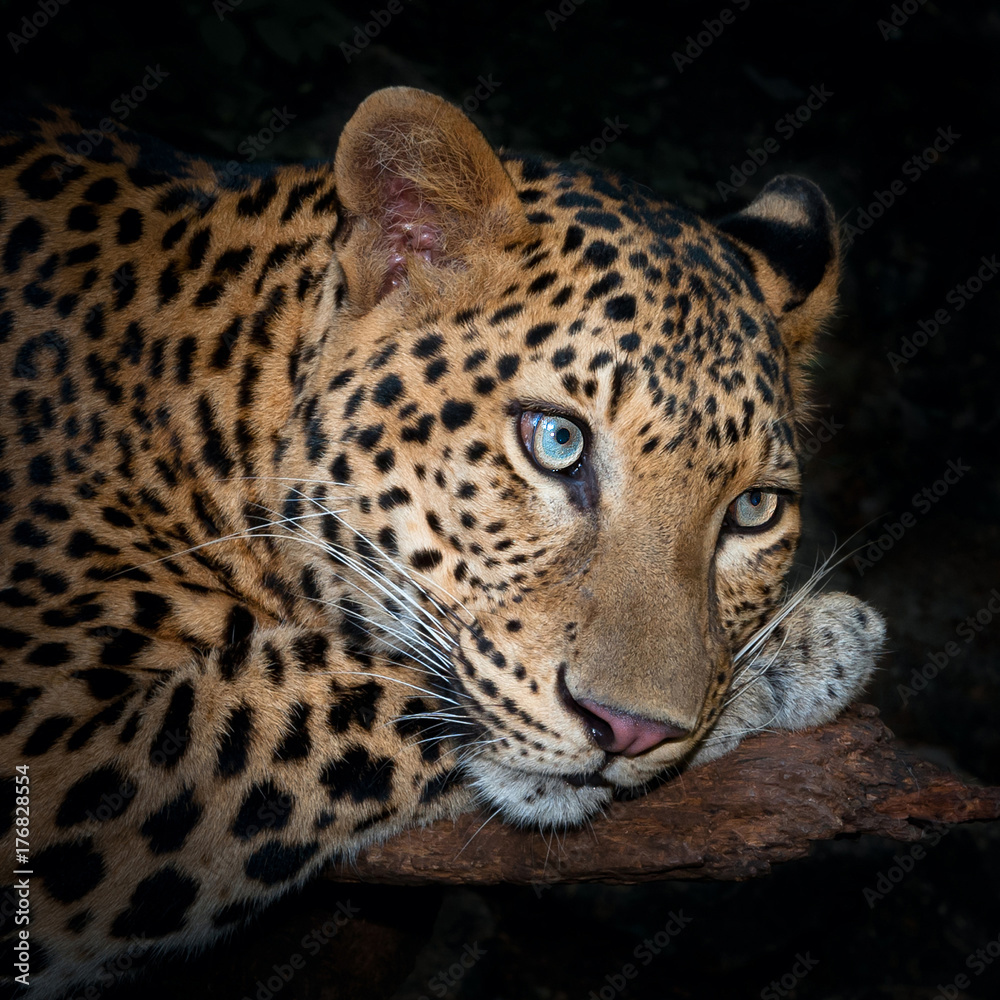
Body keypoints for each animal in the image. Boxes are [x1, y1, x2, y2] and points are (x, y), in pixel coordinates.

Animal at [0, 87, 885, 998]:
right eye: (556, 441)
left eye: (753, 510)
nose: (632, 730)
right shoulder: (53, 739)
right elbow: (336, 686)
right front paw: (812, 643)